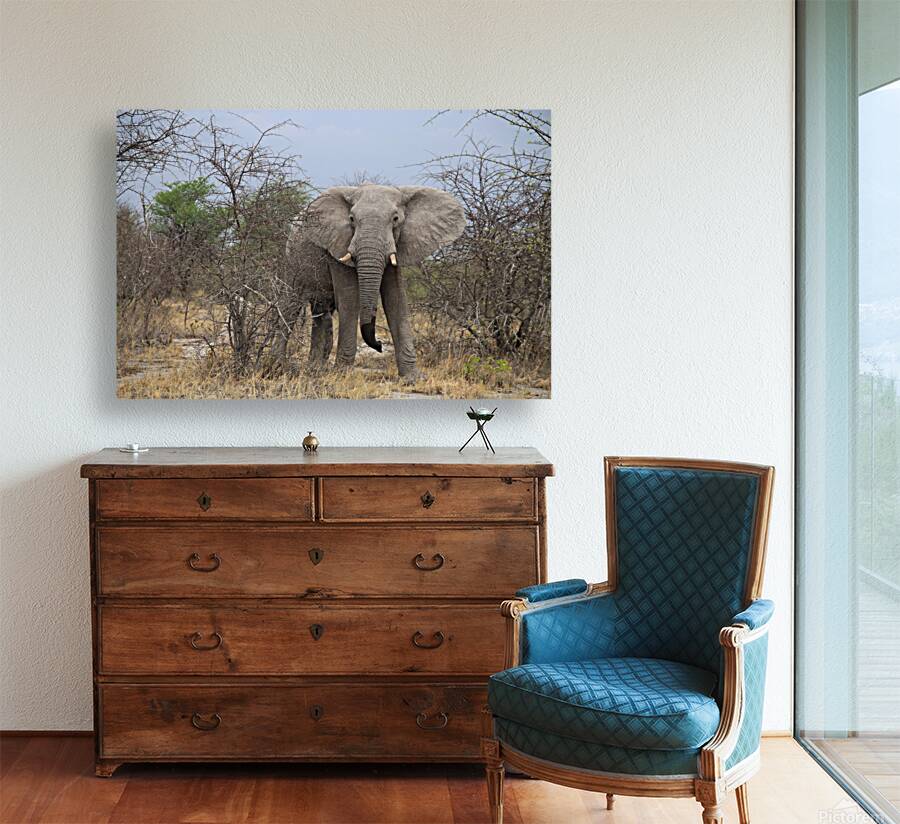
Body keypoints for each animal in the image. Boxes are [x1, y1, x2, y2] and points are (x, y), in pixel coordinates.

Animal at [283, 183, 465, 381]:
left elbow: (396, 300)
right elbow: (350, 299)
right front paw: (343, 374)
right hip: (293, 260)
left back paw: (315, 370)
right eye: (351, 219)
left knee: (321, 312)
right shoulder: (338, 246)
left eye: (395, 219)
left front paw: (413, 378)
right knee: (290, 306)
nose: (379, 345)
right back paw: (280, 364)